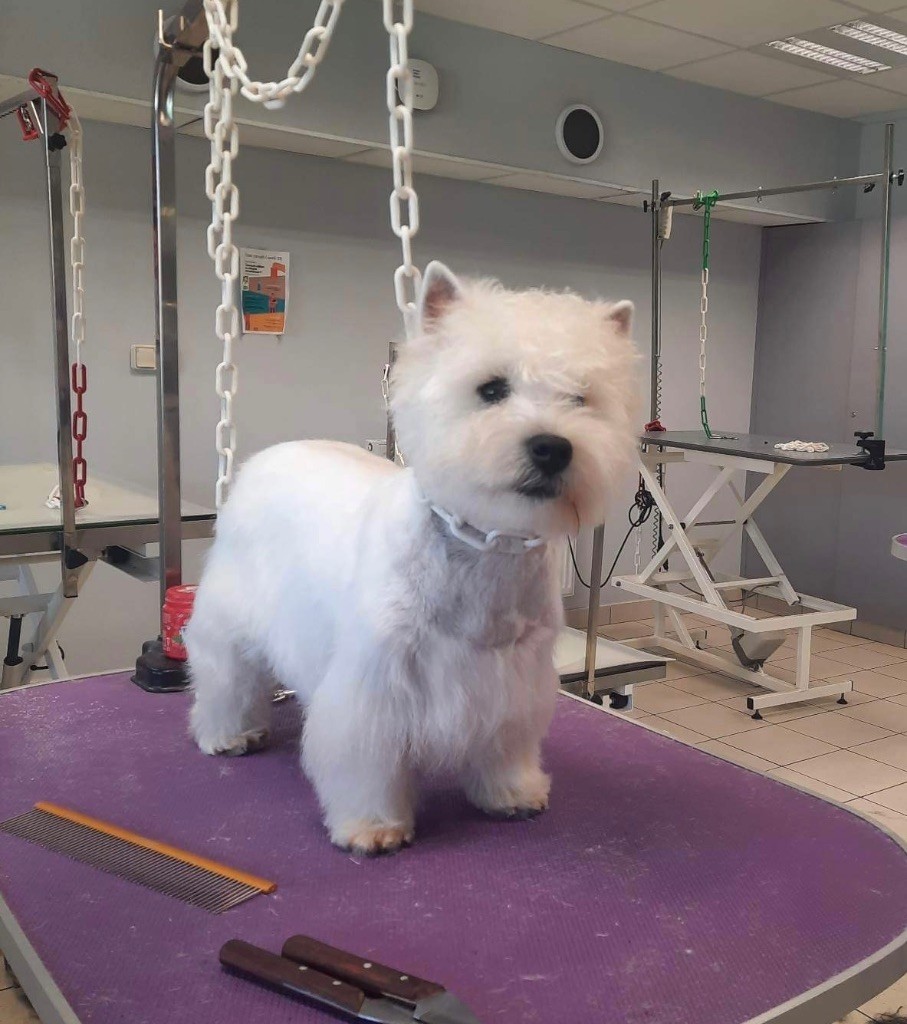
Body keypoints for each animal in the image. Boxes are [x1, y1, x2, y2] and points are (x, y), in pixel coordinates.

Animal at [186, 264, 638, 856]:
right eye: (492, 389)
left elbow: (507, 742)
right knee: (225, 674)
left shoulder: (517, 678)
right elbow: (367, 756)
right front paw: (372, 827)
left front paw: (512, 793)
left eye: (581, 398)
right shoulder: (376, 684)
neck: (485, 549)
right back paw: (228, 733)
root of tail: (265, 458)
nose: (552, 447)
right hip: (231, 615)